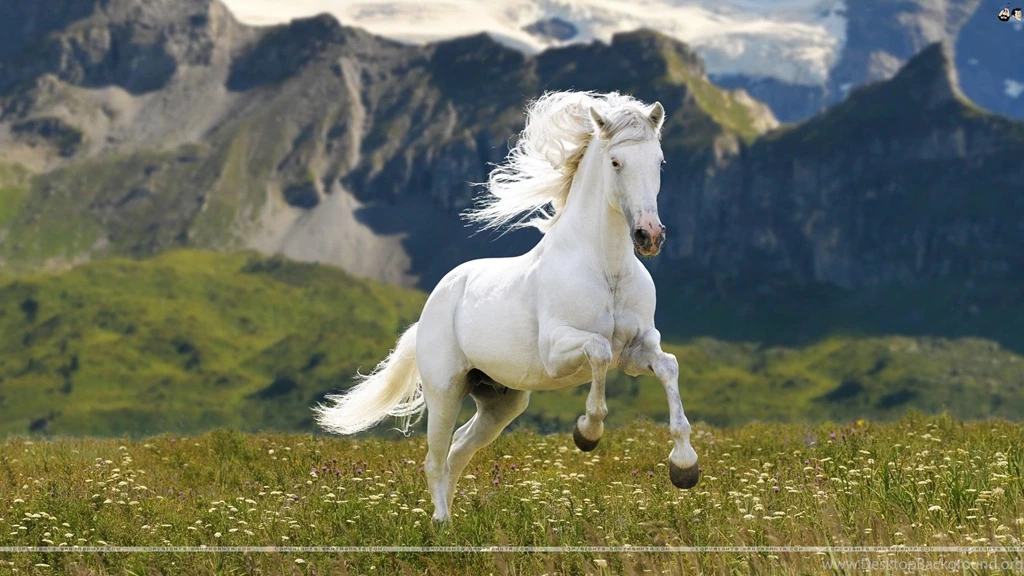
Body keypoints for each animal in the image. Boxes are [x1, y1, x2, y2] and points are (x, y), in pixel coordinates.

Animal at [314, 90, 699, 522]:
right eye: (616, 161)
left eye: (659, 161)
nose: (649, 235)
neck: (607, 269)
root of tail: (431, 307)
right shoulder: (558, 351)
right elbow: (598, 351)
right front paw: (587, 433)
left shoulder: (636, 350)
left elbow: (669, 366)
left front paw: (685, 468)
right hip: (445, 391)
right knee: (434, 458)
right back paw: (441, 523)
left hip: (501, 400)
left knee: (458, 449)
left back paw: (452, 523)